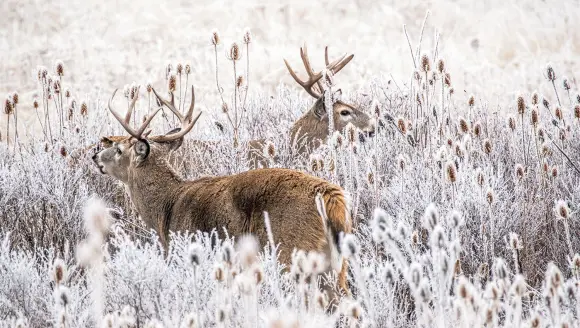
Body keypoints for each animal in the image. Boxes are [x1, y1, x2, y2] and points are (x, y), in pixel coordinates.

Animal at [92, 86, 354, 306]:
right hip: (335, 262)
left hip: (292, 251)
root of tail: (332, 198)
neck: (167, 206)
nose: (95, 156)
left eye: (118, 149)